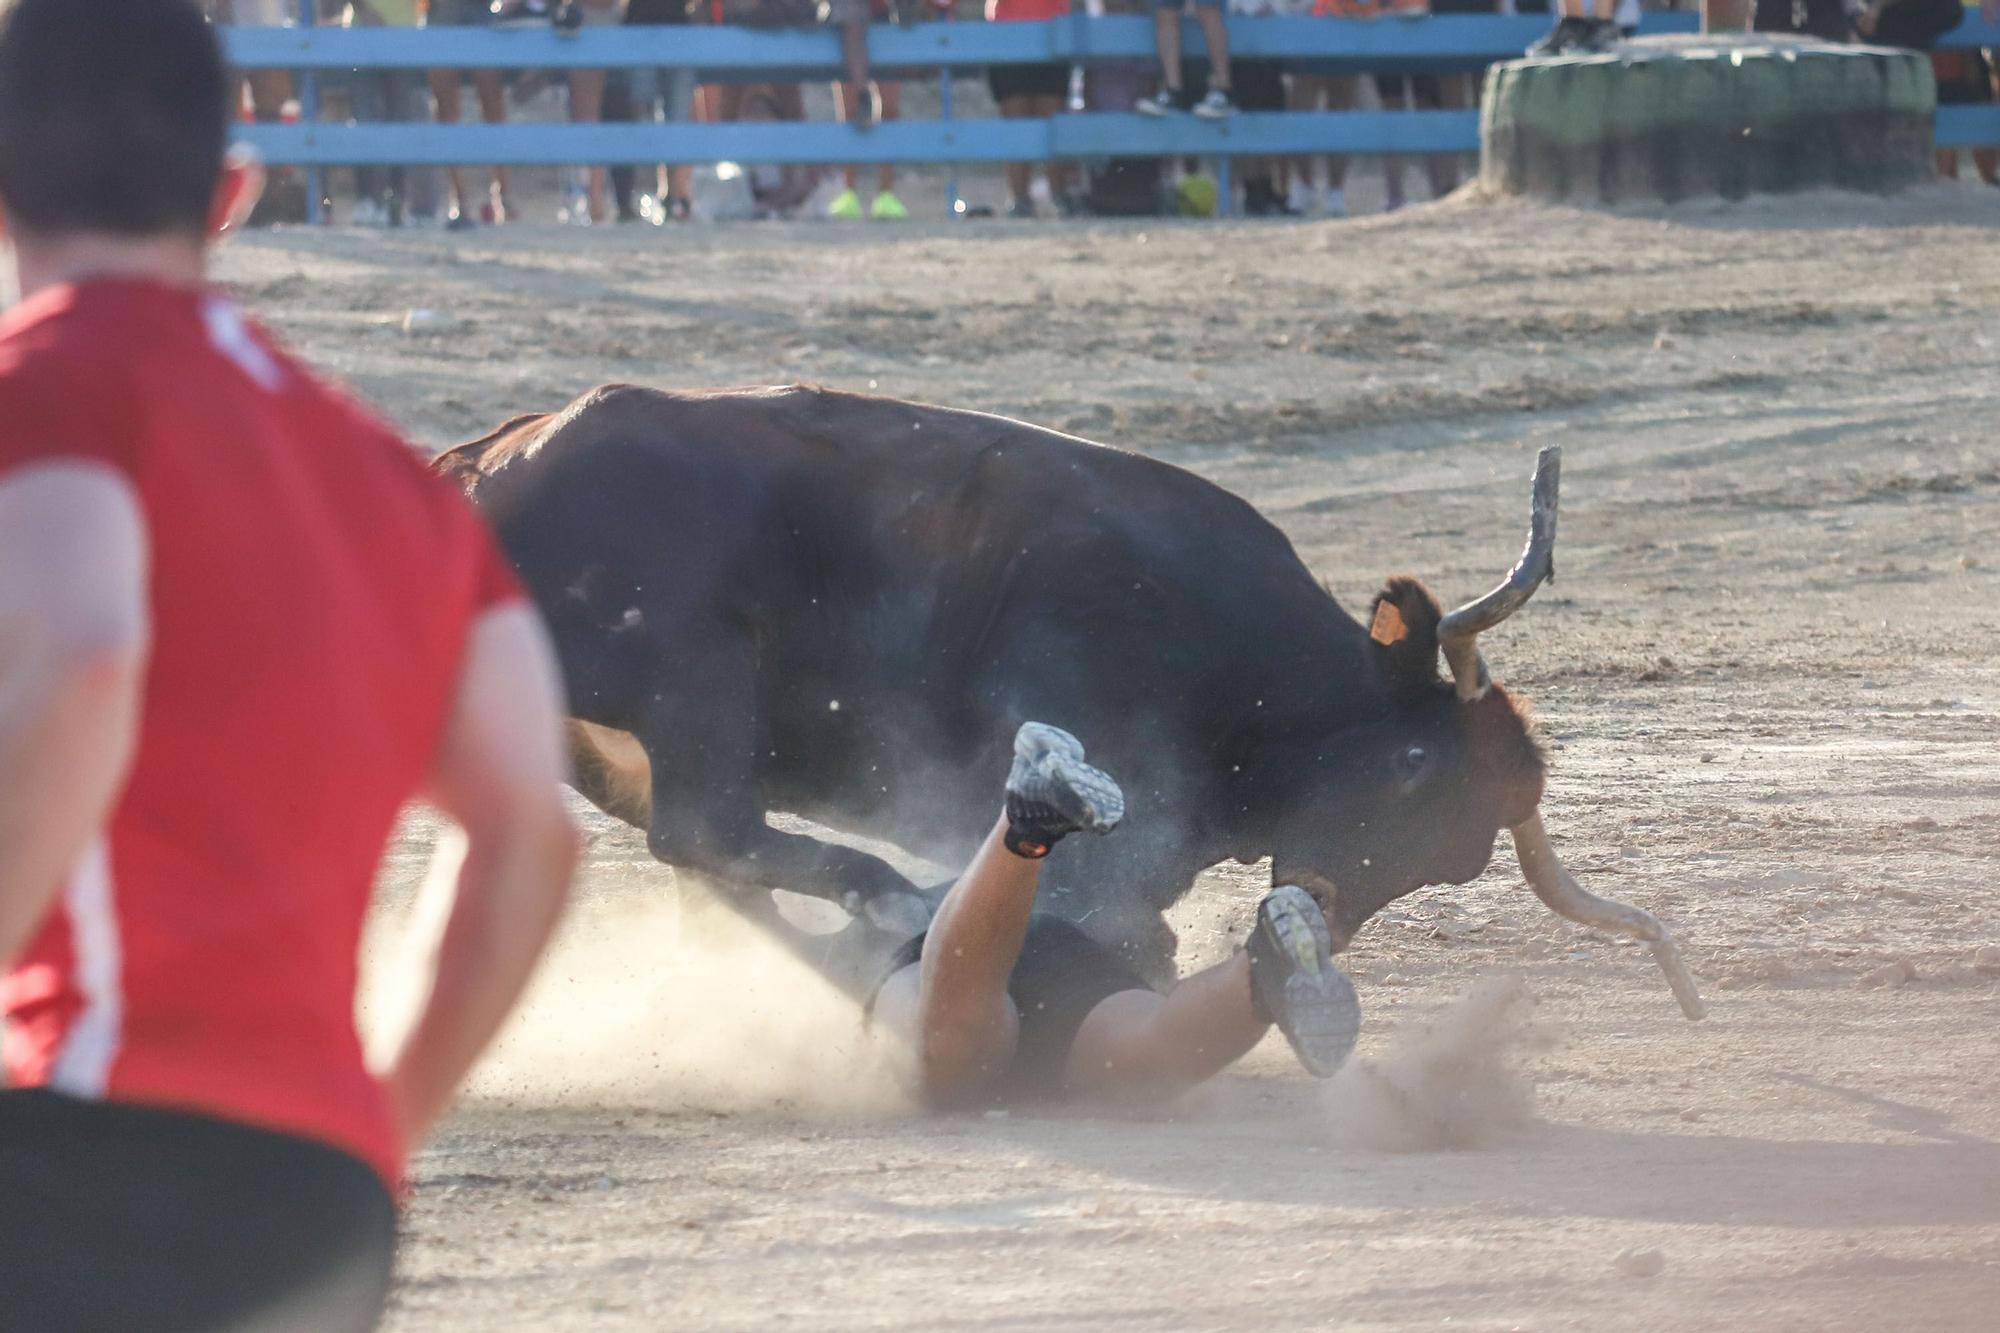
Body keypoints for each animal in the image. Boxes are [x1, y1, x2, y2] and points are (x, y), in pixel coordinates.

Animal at [442, 384, 1704, 1016]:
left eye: (1458, 857)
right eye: (1405, 768)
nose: (1314, 911)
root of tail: (496, 458)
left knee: (706, 858)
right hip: (697, 680)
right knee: (707, 831)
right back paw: (885, 898)